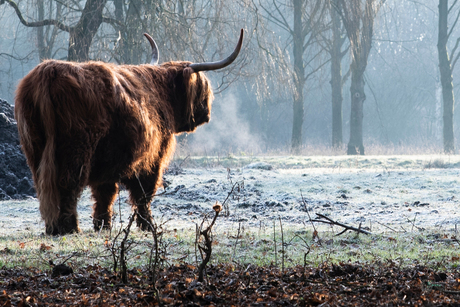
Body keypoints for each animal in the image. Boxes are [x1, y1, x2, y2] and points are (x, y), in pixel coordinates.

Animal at [14, 30, 244, 236]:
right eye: (204, 88)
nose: (207, 113)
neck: (162, 94)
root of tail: (48, 73)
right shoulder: (153, 159)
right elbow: (143, 194)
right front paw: (148, 226)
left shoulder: (106, 164)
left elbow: (105, 195)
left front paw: (103, 226)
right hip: (75, 151)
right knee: (67, 185)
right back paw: (68, 228)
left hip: (35, 149)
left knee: (44, 186)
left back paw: (52, 227)